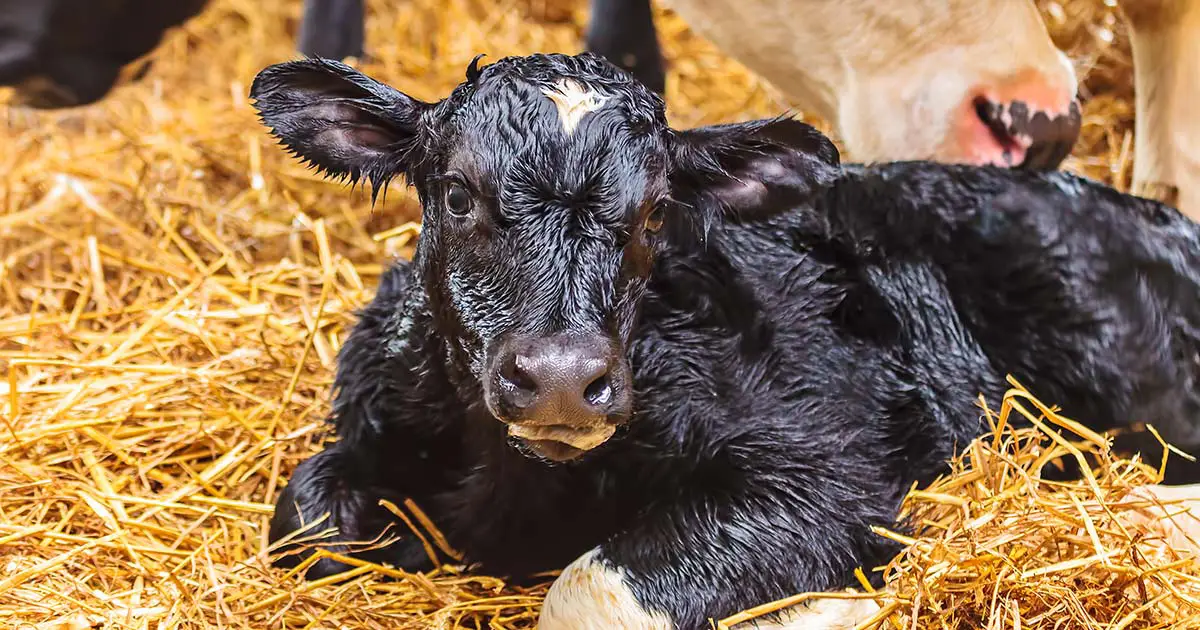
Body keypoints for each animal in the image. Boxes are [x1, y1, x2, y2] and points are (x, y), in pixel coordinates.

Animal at [249, 51, 1200, 629]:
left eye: (654, 214)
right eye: (456, 195)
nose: (560, 377)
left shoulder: (828, 475)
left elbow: (589, 590)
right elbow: (306, 520)